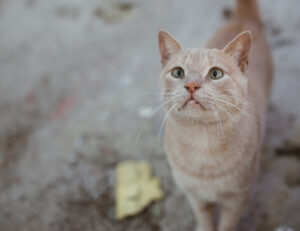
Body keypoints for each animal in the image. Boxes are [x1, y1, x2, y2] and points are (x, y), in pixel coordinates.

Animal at [158, 0, 274, 231]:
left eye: (215, 73)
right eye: (178, 72)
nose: (191, 85)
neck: (203, 141)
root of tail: (241, 20)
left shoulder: (237, 199)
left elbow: (227, 224)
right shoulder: (195, 197)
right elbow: (204, 219)